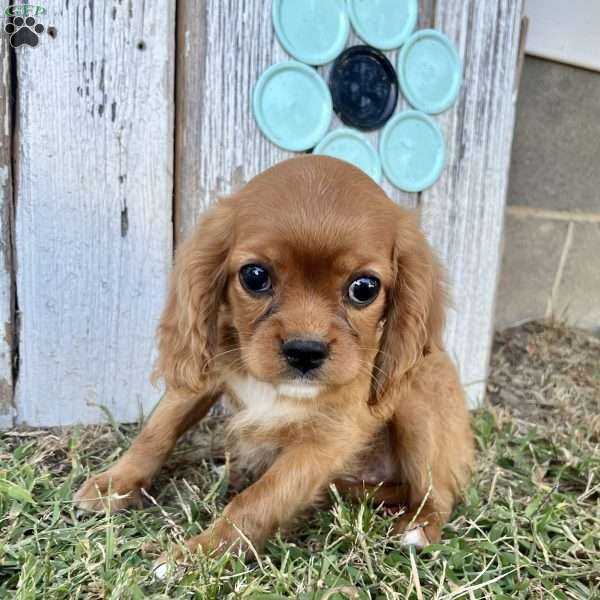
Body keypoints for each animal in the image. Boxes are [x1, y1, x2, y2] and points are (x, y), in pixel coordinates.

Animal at [75, 156, 476, 564]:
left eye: (364, 288)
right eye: (255, 276)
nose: (305, 351)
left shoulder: (325, 441)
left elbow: (257, 501)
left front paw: (199, 556)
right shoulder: (207, 367)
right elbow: (158, 430)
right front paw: (115, 484)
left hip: (418, 404)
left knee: (435, 492)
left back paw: (417, 529)